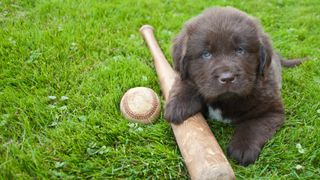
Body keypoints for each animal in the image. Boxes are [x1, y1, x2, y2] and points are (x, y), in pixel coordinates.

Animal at [165, 7, 302, 166]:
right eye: (206, 54)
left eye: (240, 50)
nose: (227, 78)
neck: (225, 101)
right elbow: (185, 82)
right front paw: (177, 106)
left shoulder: (272, 110)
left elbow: (253, 125)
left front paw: (243, 147)